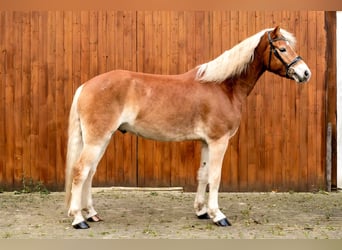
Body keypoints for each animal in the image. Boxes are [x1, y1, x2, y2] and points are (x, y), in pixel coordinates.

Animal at [65, 26, 312, 229]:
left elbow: (202, 175)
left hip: (101, 139)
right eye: (282, 48)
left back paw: (91, 214)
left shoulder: (206, 142)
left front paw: (202, 211)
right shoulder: (219, 141)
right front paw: (218, 215)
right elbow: (215, 176)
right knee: (80, 172)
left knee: (90, 173)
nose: (305, 73)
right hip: (97, 139)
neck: (223, 86)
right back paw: (79, 219)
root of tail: (85, 85)